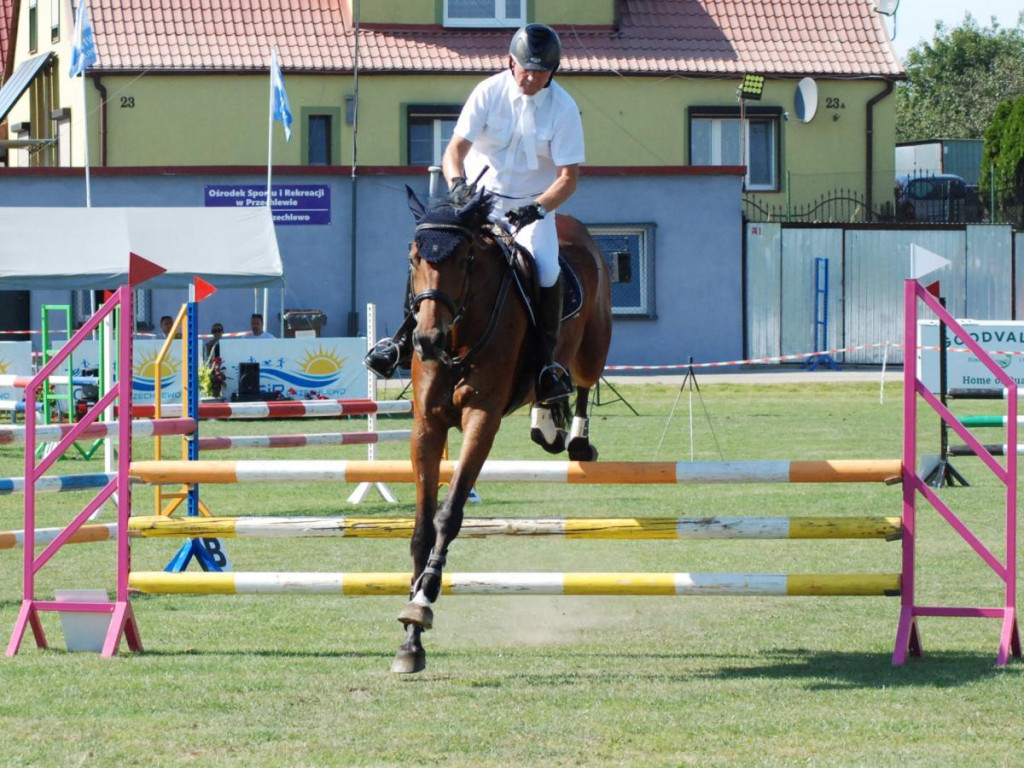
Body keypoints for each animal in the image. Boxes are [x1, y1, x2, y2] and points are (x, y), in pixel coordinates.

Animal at [391, 186, 610, 671]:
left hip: (593, 347)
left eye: (464, 259)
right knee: (553, 386)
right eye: (413, 256)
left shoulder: (482, 419)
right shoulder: (426, 426)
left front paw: (423, 602)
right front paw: (411, 640)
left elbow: (449, 515)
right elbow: (421, 528)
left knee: (582, 380)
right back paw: (547, 422)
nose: (426, 341)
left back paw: (577, 440)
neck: (458, 337)